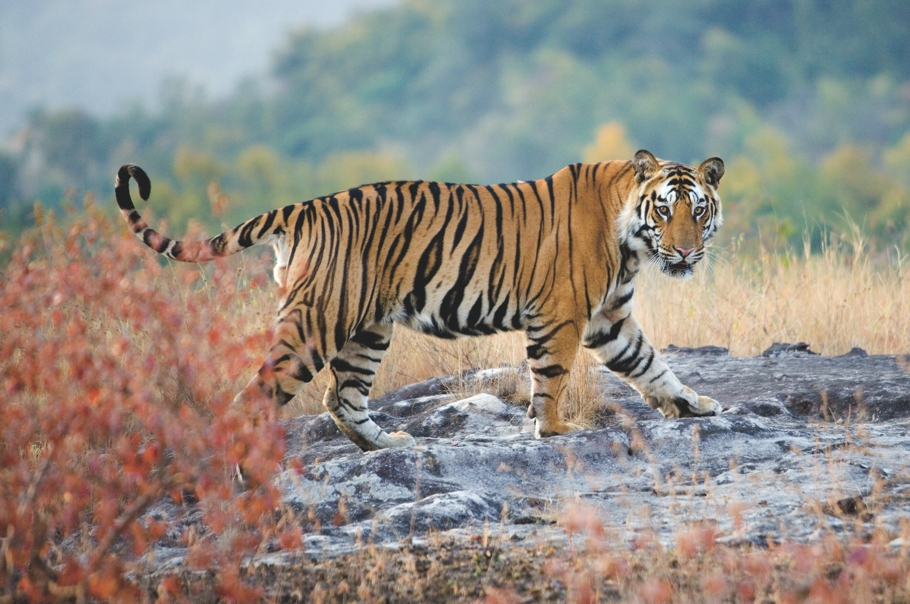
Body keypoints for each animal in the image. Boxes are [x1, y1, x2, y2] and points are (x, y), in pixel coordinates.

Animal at [116, 150, 728, 452]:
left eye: (697, 211)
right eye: (664, 210)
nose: (685, 251)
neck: (630, 241)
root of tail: (305, 206)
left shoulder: (609, 318)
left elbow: (651, 364)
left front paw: (694, 405)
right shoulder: (562, 316)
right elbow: (551, 379)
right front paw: (555, 431)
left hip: (366, 329)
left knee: (341, 397)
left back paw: (387, 444)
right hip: (317, 323)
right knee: (256, 397)